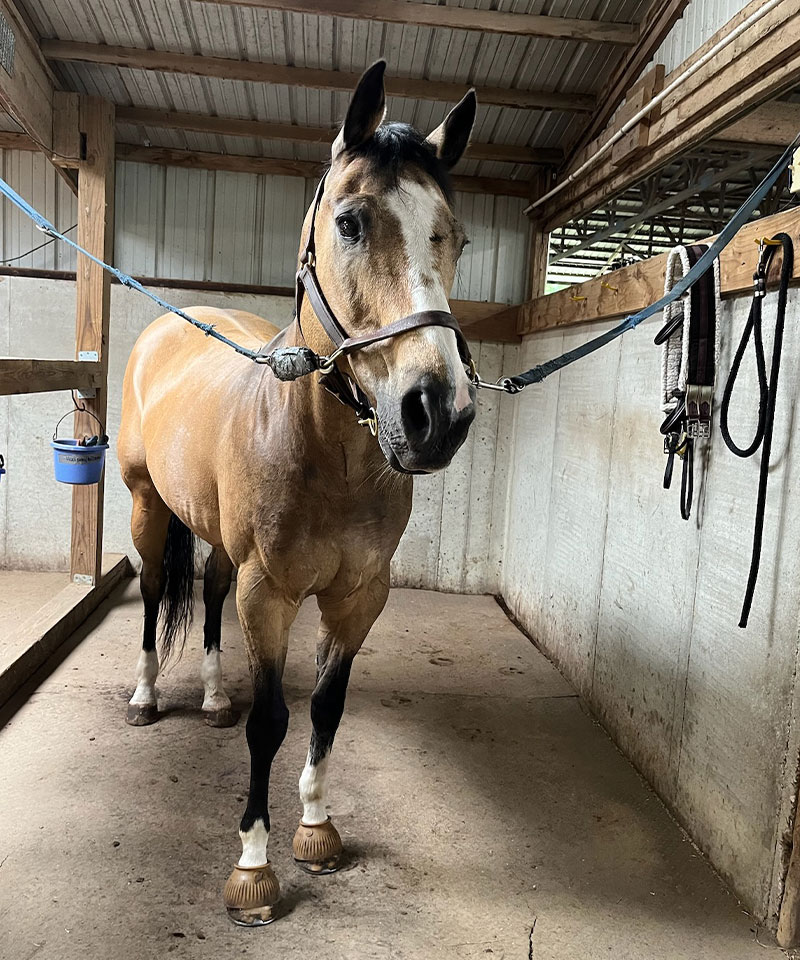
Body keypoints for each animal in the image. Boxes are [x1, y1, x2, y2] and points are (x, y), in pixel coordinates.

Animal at [118, 59, 478, 926]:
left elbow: (324, 708)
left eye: (454, 236)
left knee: (209, 595)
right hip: (147, 506)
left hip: (218, 539)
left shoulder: (359, 597)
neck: (327, 457)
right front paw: (253, 866)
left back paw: (213, 696)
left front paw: (316, 828)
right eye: (349, 223)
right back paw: (146, 696)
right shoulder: (271, 595)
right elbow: (272, 720)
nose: (438, 413)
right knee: (153, 592)